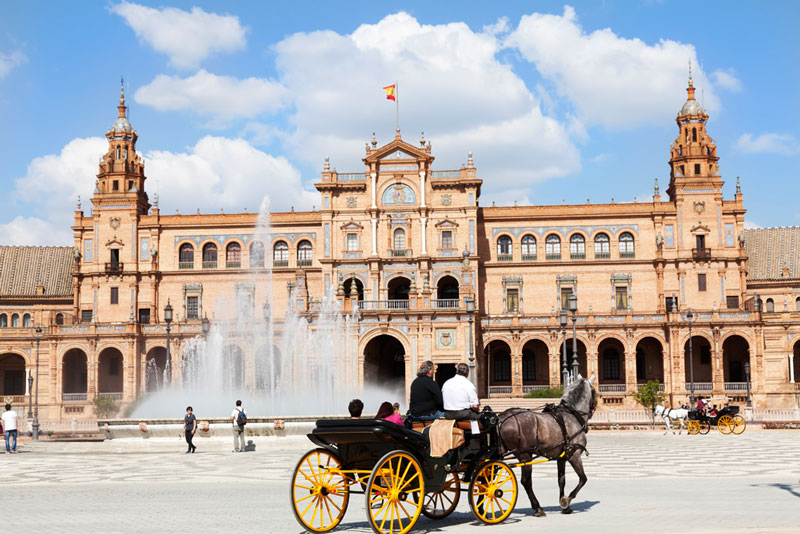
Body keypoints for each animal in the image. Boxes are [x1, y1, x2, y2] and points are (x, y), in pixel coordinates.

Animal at [496, 376, 596, 520]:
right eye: (594, 392)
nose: (593, 408)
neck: (572, 414)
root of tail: (501, 418)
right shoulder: (574, 455)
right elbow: (583, 479)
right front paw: (567, 500)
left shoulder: (561, 458)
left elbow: (561, 480)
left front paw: (565, 506)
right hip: (525, 455)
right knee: (526, 482)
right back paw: (538, 508)